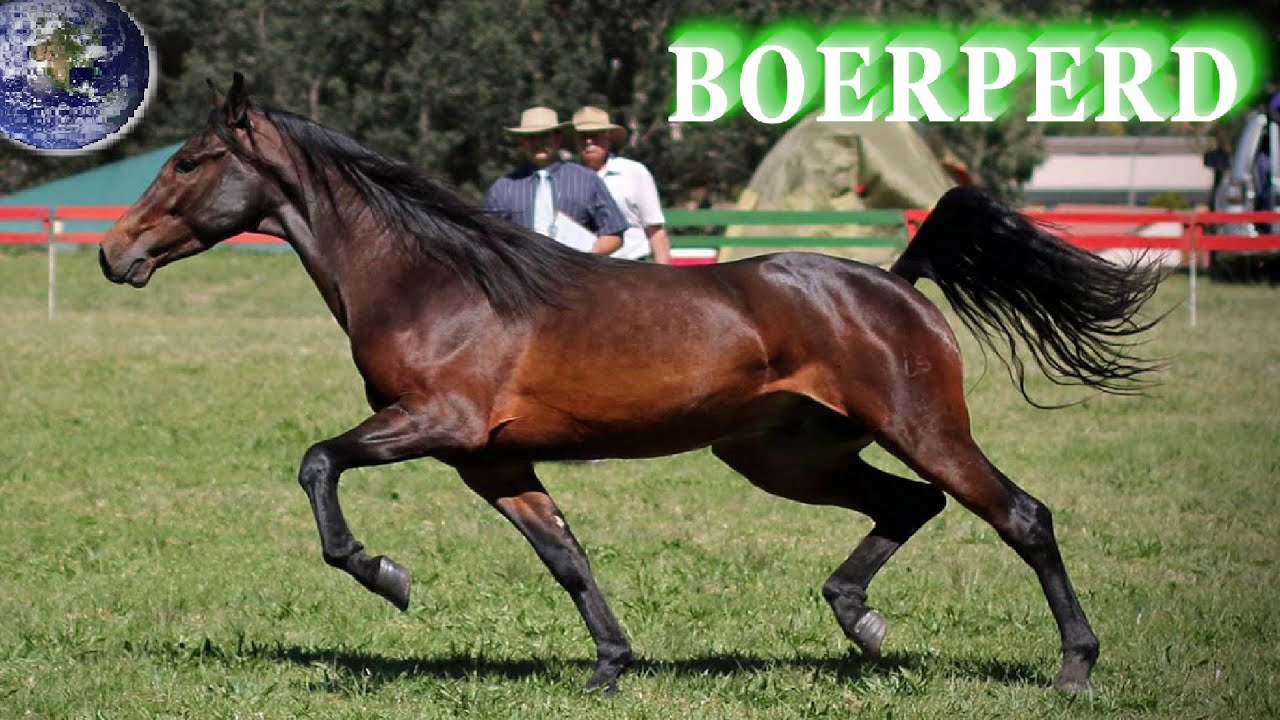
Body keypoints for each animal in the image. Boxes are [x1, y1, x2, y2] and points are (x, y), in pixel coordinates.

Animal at [99, 73, 1161, 694]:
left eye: (190, 161)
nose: (115, 253)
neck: (435, 281)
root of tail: (893, 281)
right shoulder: (490, 462)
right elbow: (565, 557)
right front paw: (611, 666)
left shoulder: (436, 422)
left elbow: (317, 463)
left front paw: (386, 575)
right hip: (784, 456)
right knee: (911, 506)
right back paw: (858, 619)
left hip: (921, 426)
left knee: (1019, 515)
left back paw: (1074, 667)